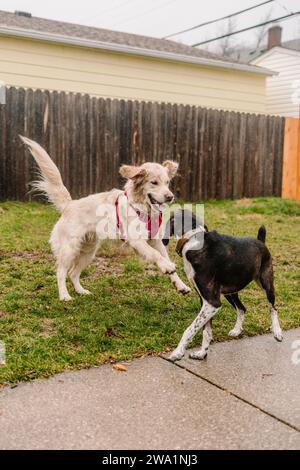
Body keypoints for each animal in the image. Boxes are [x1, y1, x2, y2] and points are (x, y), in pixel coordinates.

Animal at [20, 136, 190, 302]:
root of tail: (69, 205)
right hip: (69, 249)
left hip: (88, 252)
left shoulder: (155, 240)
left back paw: (81, 291)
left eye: (167, 182)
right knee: (61, 272)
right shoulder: (137, 241)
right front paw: (167, 267)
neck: (143, 209)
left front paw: (180, 285)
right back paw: (64, 296)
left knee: (73, 273)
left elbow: (163, 256)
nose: (170, 197)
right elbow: (155, 255)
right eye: (154, 182)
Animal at [163, 210, 282, 364]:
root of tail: (260, 241)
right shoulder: (205, 301)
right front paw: (202, 353)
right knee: (242, 308)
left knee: (272, 307)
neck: (192, 239)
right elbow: (206, 331)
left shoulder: (212, 303)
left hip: (266, 284)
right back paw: (237, 330)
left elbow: (190, 329)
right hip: (230, 292)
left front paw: (178, 352)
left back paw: (277, 332)